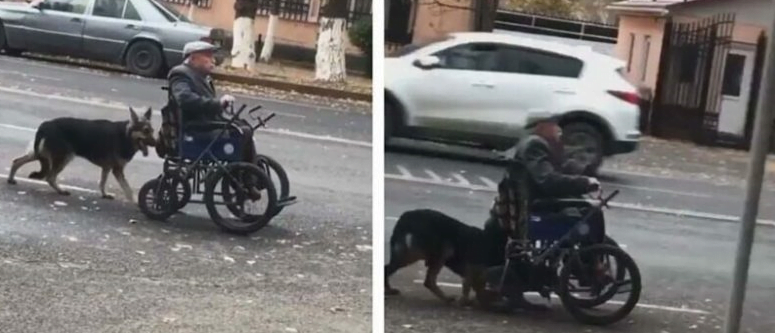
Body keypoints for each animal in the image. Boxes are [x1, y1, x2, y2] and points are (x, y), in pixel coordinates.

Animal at [6, 106, 155, 201]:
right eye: (146, 131)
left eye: (152, 131)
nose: (156, 143)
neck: (126, 135)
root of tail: (45, 124)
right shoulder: (117, 170)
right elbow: (128, 189)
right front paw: (134, 202)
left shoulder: (107, 168)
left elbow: (102, 182)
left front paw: (104, 194)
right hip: (63, 158)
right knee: (50, 177)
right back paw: (61, 190)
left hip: (40, 154)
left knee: (17, 161)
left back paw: (11, 179)